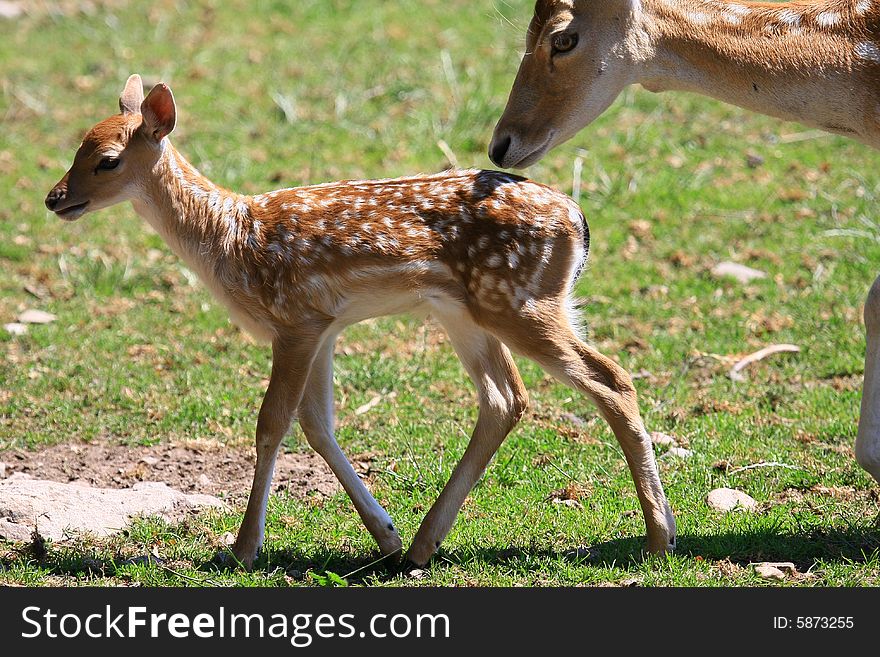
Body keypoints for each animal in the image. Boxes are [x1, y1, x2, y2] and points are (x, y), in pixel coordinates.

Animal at [43, 74, 672, 568]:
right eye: (77, 146)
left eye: (106, 160)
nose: (54, 198)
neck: (233, 241)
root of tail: (579, 221)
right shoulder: (322, 327)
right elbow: (317, 426)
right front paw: (384, 534)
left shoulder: (293, 320)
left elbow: (272, 424)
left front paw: (243, 548)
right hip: (468, 311)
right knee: (506, 398)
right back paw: (420, 545)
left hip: (521, 300)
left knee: (611, 379)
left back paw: (658, 537)